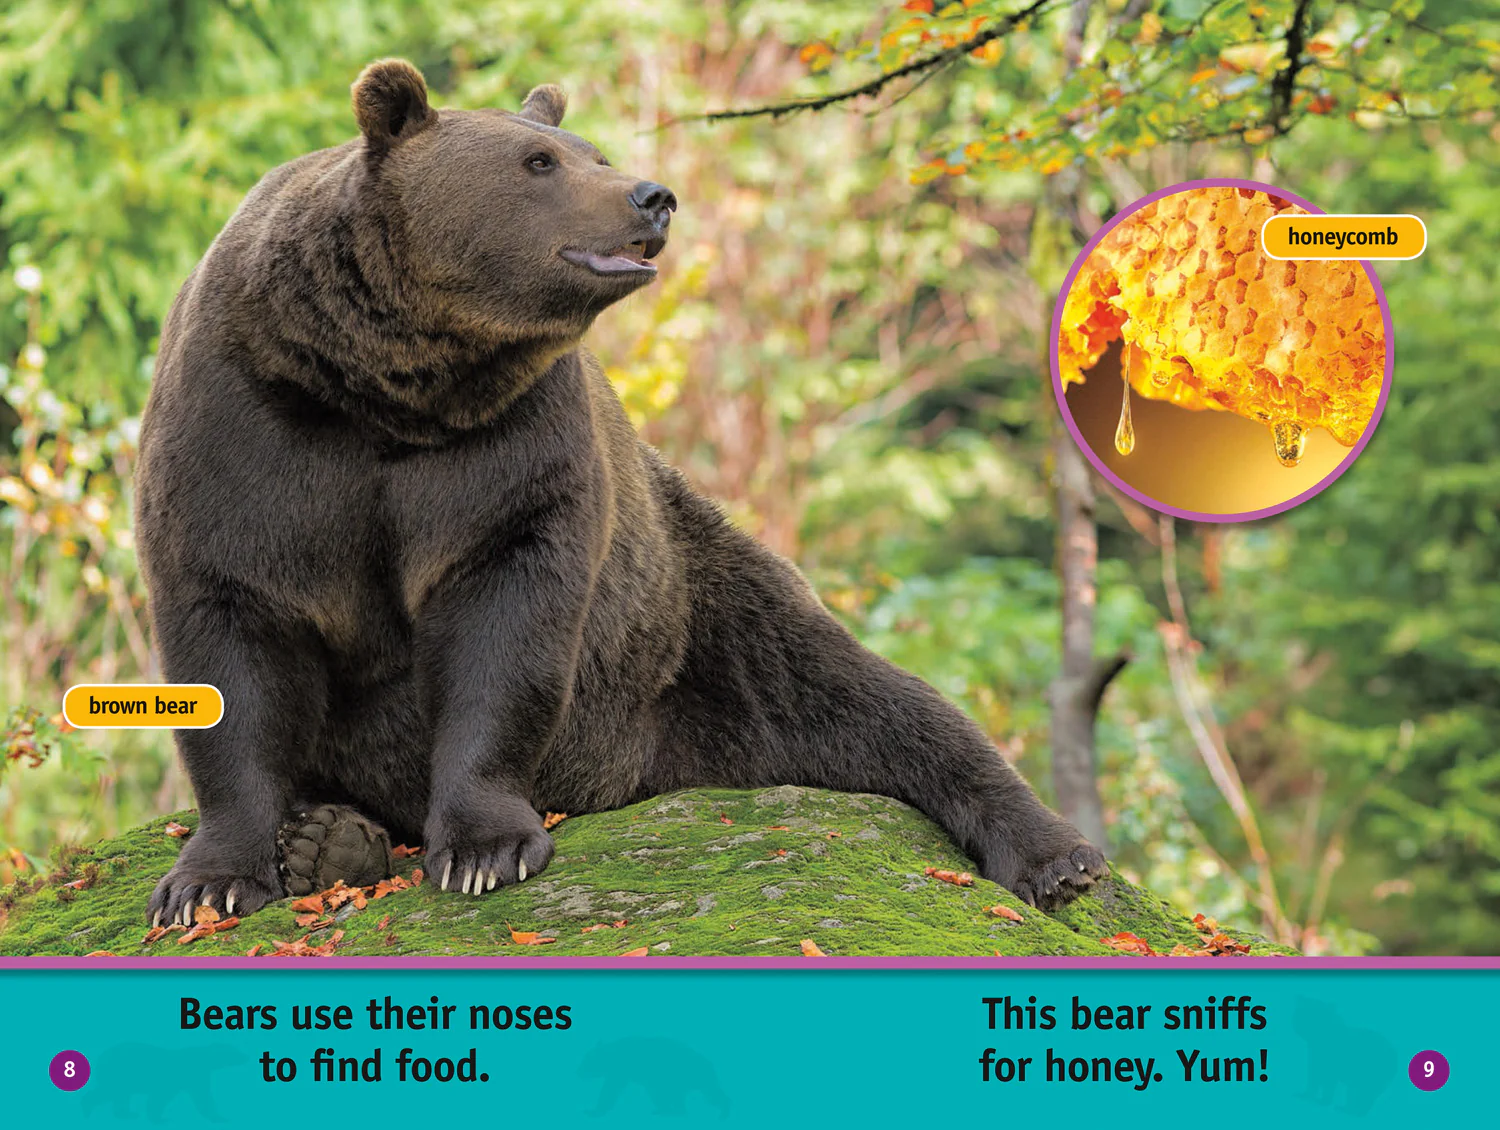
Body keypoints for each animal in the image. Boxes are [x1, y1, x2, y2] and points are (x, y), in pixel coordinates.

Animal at [135, 58, 1108, 927]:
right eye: (539, 162)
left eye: (589, 150)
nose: (653, 196)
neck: (395, 384)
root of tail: (646, 774)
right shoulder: (250, 434)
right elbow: (230, 643)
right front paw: (213, 881)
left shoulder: (509, 452)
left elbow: (507, 626)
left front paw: (485, 848)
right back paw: (329, 840)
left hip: (698, 620)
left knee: (865, 699)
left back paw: (1057, 856)